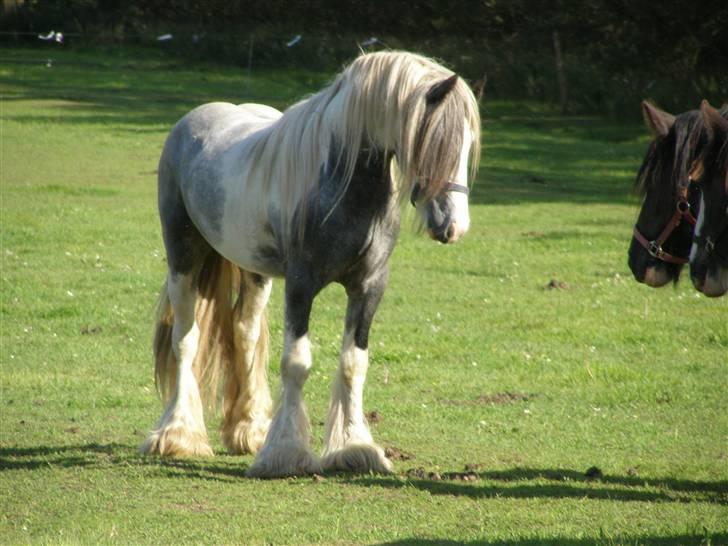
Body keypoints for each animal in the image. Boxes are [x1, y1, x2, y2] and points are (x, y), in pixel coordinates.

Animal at [141, 51, 484, 476]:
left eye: (468, 145)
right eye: (434, 140)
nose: (454, 226)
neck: (346, 187)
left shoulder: (369, 287)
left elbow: (354, 363)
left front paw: (354, 447)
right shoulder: (301, 285)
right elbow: (296, 362)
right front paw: (286, 453)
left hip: (255, 273)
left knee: (244, 332)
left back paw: (250, 430)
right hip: (183, 259)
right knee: (185, 340)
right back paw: (177, 434)